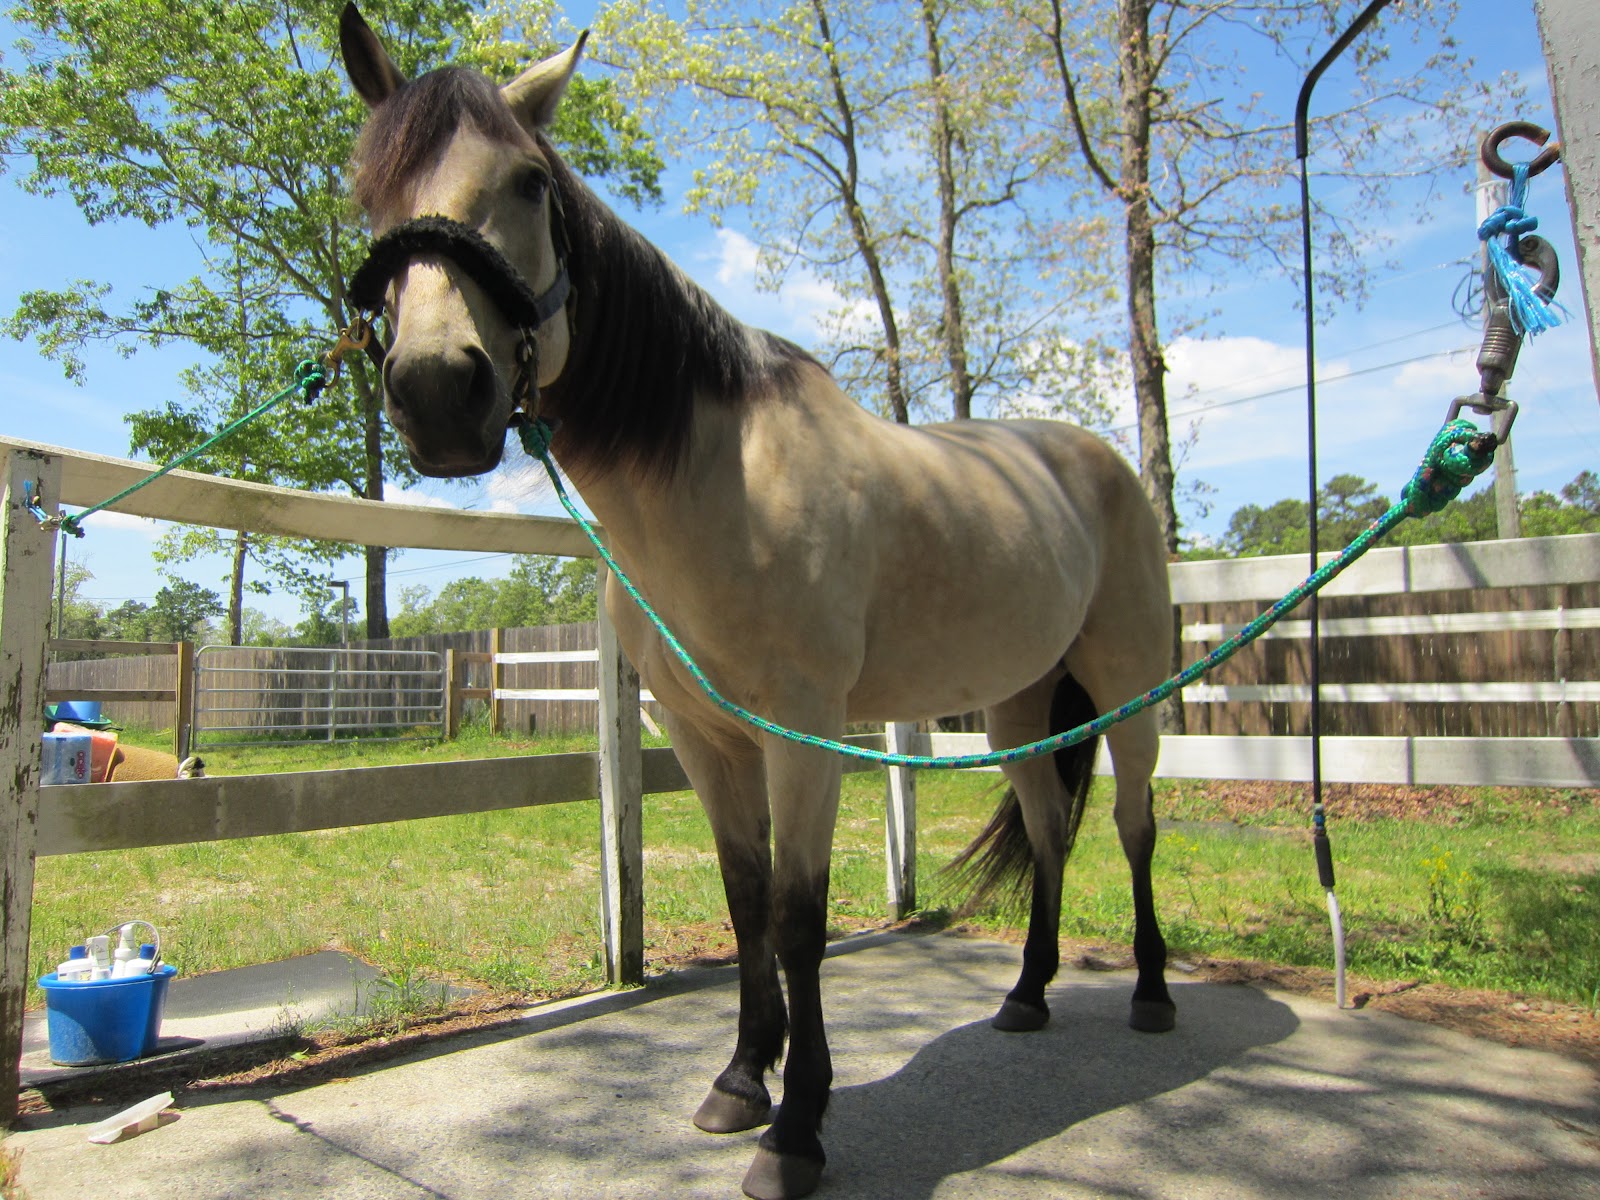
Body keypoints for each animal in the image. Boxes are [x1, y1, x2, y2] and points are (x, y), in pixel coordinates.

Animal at [338, 6, 1175, 1197]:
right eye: (367, 193)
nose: (438, 392)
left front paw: (799, 1131)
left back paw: (1149, 993)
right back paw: (1025, 995)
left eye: (531, 183)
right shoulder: (705, 737)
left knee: (1134, 825)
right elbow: (742, 906)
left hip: (1129, 689)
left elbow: (796, 916)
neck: (715, 477)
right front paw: (742, 1082)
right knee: (1053, 832)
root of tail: (1096, 461)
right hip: (1020, 704)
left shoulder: (803, 733)